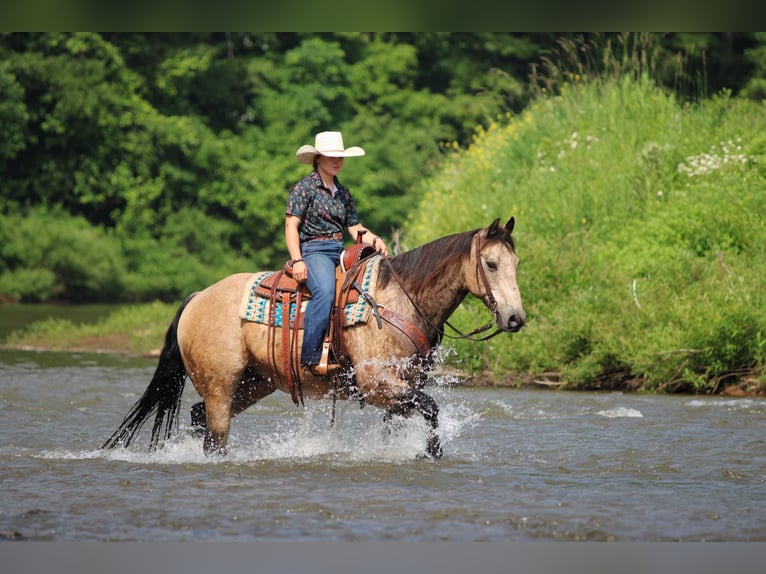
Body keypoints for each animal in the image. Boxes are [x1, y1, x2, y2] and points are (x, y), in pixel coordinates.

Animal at [102, 217, 525, 459]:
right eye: (491, 263)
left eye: (516, 263)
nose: (515, 318)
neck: (399, 299)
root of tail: (196, 298)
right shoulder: (376, 384)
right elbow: (432, 408)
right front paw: (432, 453)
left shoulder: (402, 386)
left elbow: (404, 419)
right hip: (221, 385)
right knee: (215, 435)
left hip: (253, 383)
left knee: (197, 416)